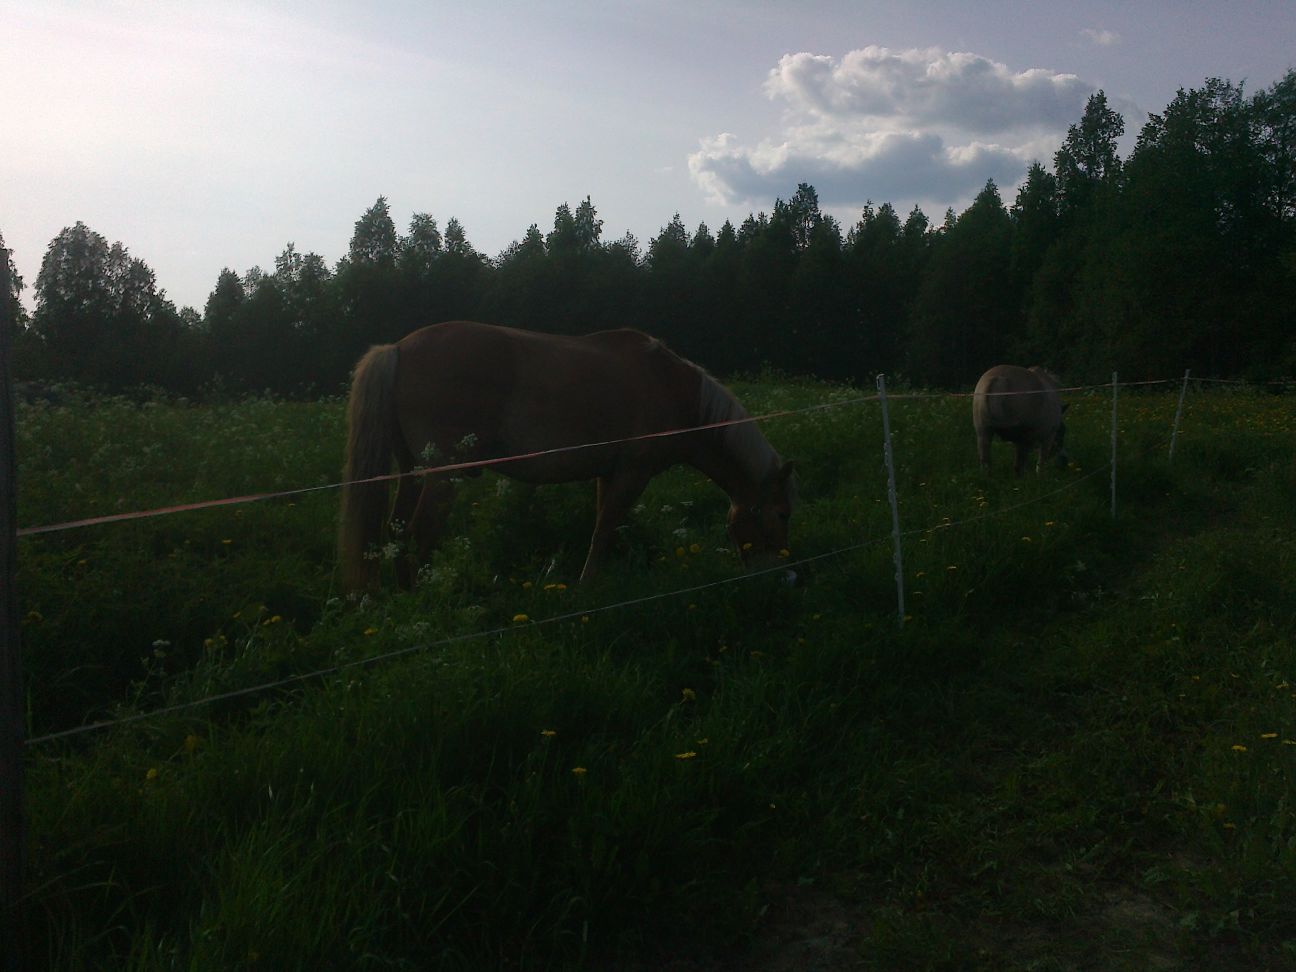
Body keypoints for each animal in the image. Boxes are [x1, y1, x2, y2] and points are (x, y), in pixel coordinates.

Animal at [338, 321, 797, 591]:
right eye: (782, 514)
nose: (783, 574)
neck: (672, 389)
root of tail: (397, 348)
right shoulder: (632, 473)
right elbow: (605, 529)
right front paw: (586, 588)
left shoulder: (608, 473)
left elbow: (603, 527)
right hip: (441, 477)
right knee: (417, 536)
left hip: (411, 472)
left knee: (394, 534)